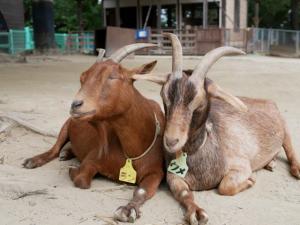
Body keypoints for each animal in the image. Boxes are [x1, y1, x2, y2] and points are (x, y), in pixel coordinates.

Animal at [22, 43, 165, 221]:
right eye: (82, 78)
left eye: (112, 76)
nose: (76, 104)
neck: (133, 150)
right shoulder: (93, 158)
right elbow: (82, 179)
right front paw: (72, 169)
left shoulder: (156, 172)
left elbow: (142, 191)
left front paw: (128, 209)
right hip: (67, 124)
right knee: (54, 149)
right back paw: (35, 160)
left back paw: (66, 153)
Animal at [134, 33, 300, 225]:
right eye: (164, 95)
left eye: (199, 102)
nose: (171, 141)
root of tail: (266, 101)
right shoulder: (173, 177)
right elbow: (184, 193)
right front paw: (196, 212)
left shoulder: (241, 165)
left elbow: (225, 187)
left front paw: (250, 181)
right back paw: (270, 163)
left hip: (285, 129)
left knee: (290, 150)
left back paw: (296, 169)